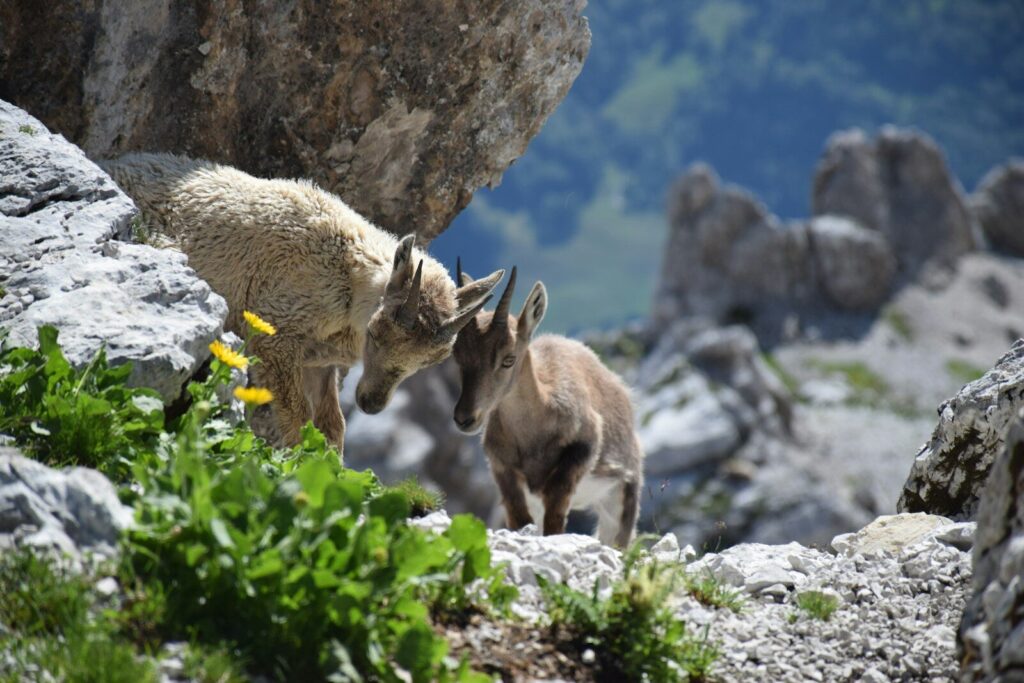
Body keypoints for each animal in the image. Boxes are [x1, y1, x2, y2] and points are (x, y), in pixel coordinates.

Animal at [101, 152, 503, 451]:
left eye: (430, 361)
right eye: (375, 333)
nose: (371, 404)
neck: (347, 280)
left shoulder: (318, 364)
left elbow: (333, 427)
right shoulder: (276, 332)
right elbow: (296, 417)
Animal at [451, 266, 644, 547]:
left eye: (508, 359)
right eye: (456, 355)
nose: (465, 418)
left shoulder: (583, 447)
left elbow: (555, 511)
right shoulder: (502, 467)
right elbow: (518, 517)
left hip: (622, 493)